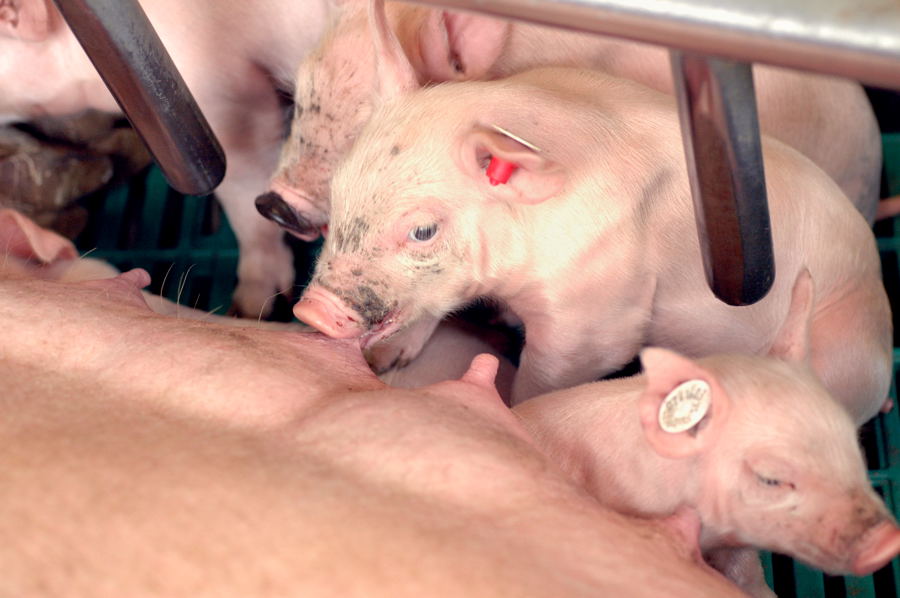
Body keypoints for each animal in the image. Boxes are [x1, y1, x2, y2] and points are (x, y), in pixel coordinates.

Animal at [293, 60, 892, 420]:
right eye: (338, 194)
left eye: (423, 230)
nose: (309, 310)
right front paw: (386, 362)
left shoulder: (594, 320)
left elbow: (547, 378)